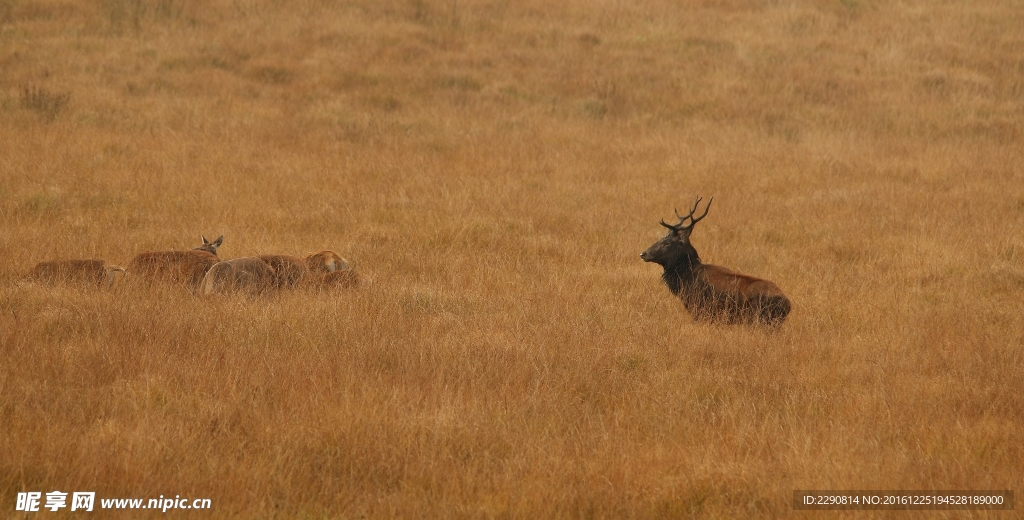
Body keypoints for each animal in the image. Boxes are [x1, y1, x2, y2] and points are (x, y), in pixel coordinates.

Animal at [640, 197, 791, 326]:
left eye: (667, 242)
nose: (643, 253)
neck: (685, 279)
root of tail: (787, 305)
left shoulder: (701, 310)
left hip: (760, 320)